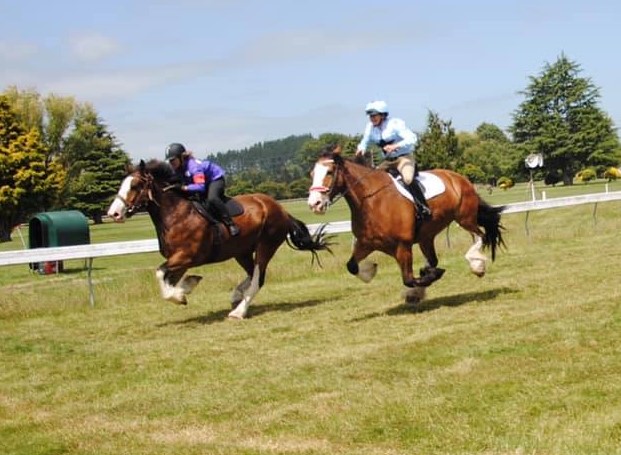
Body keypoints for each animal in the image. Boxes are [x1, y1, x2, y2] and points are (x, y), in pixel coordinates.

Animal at [108, 160, 330, 320]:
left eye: (135, 185)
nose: (113, 214)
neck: (176, 215)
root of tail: (281, 209)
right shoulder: (179, 259)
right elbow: (166, 278)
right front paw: (186, 287)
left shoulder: (187, 256)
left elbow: (160, 273)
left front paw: (180, 295)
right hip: (241, 252)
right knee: (253, 274)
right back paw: (236, 295)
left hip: (266, 245)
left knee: (258, 278)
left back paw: (238, 312)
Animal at [306, 148, 504, 304]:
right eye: (312, 174)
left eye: (329, 171)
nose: (314, 204)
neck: (372, 202)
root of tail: (458, 177)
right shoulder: (366, 243)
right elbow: (352, 266)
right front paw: (370, 271)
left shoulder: (403, 245)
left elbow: (409, 279)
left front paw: (428, 278)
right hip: (427, 235)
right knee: (436, 257)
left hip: (465, 218)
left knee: (480, 235)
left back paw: (476, 265)